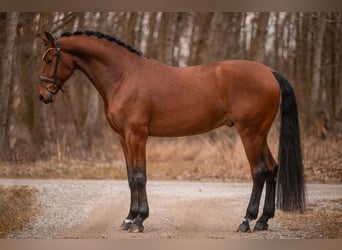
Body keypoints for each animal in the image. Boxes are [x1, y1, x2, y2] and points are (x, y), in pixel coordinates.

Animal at [36, 30, 304, 232]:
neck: (124, 76)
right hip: (260, 134)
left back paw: (246, 221)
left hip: (250, 133)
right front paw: (128, 218)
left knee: (259, 171)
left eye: (49, 60)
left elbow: (139, 176)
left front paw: (139, 220)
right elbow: (130, 177)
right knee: (272, 168)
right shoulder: (123, 138)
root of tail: (270, 72)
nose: (42, 96)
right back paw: (263, 221)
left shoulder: (136, 136)